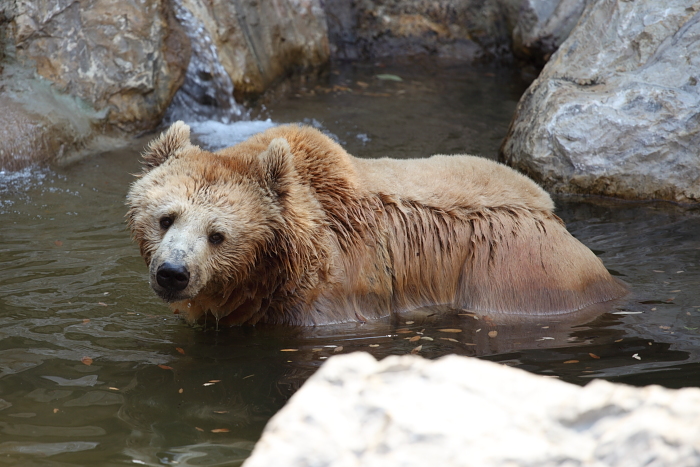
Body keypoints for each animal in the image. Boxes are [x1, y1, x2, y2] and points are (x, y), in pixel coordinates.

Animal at [126, 121, 627, 326]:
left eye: (218, 235)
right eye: (165, 217)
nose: (173, 273)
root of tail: (552, 214)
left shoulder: (331, 295)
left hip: (518, 270)